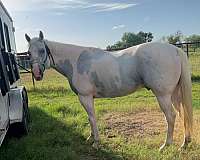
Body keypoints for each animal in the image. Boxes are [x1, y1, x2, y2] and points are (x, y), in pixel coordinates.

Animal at [25, 31, 192, 151]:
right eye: (28, 53)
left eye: (42, 50)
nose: (37, 74)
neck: (76, 61)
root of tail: (175, 50)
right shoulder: (88, 98)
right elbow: (89, 118)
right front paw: (91, 137)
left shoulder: (85, 97)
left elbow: (92, 118)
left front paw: (96, 142)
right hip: (174, 94)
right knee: (183, 113)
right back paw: (185, 143)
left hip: (163, 95)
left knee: (171, 116)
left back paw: (166, 145)